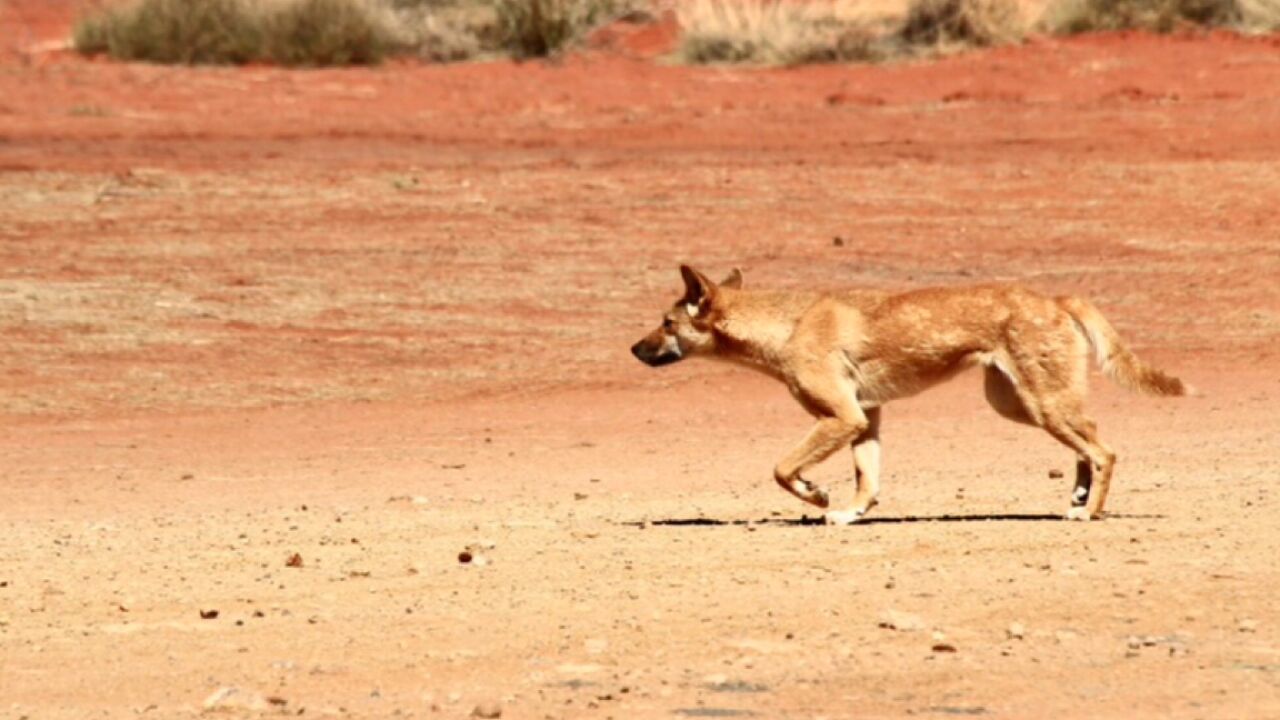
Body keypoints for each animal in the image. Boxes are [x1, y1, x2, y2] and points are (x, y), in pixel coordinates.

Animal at [632, 263, 1187, 520]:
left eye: (666, 324)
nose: (634, 348)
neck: (786, 326)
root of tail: (1055, 297)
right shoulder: (865, 417)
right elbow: (868, 480)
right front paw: (851, 514)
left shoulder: (841, 417)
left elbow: (782, 469)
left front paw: (818, 495)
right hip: (1020, 405)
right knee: (1085, 446)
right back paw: (1078, 496)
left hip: (1040, 403)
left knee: (1104, 450)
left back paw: (1090, 510)